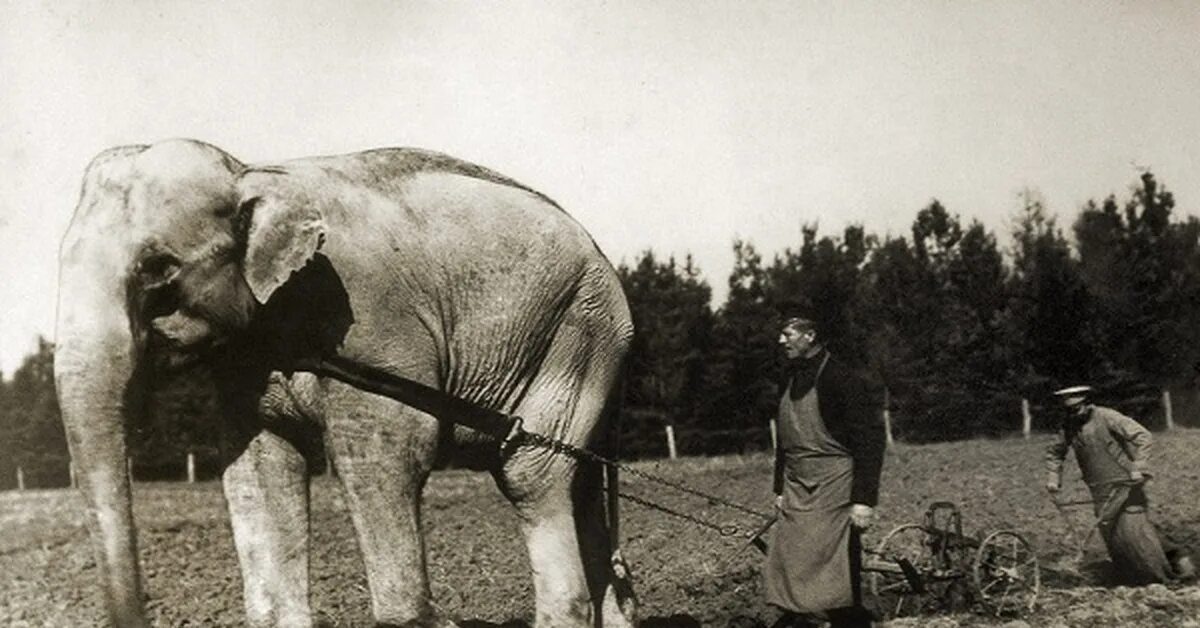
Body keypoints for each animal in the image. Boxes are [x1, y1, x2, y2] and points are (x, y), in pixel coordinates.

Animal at [54, 138, 638, 628]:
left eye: (158, 270)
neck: (252, 170)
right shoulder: (246, 365)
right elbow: (259, 470)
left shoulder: (372, 324)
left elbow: (385, 454)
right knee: (581, 490)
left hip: (578, 333)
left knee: (531, 477)